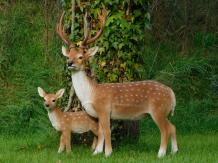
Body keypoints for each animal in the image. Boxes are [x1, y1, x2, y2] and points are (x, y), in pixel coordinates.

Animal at [57, 7, 178, 158]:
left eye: (81, 56)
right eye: (68, 55)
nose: (69, 63)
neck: (91, 92)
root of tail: (172, 93)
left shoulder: (104, 109)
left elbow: (107, 131)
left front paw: (108, 153)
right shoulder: (99, 114)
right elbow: (101, 132)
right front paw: (96, 152)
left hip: (159, 109)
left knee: (165, 130)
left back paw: (161, 154)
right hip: (164, 111)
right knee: (173, 127)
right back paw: (174, 151)